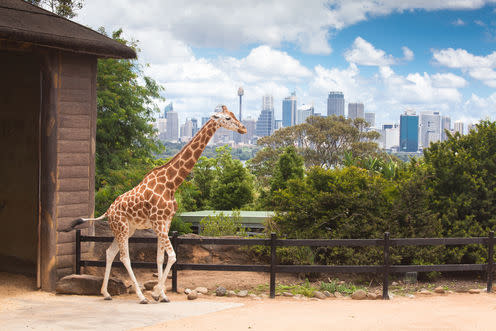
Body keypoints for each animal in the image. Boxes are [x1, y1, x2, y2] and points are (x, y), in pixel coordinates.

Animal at [64, 105, 246, 304]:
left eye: (233, 115)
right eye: (227, 118)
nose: (243, 129)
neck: (171, 184)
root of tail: (107, 212)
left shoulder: (165, 223)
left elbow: (160, 258)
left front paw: (162, 295)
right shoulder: (158, 223)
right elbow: (172, 256)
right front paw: (156, 293)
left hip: (126, 230)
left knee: (109, 253)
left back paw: (106, 293)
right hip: (122, 228)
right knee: (124, 257)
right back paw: (141, 296)